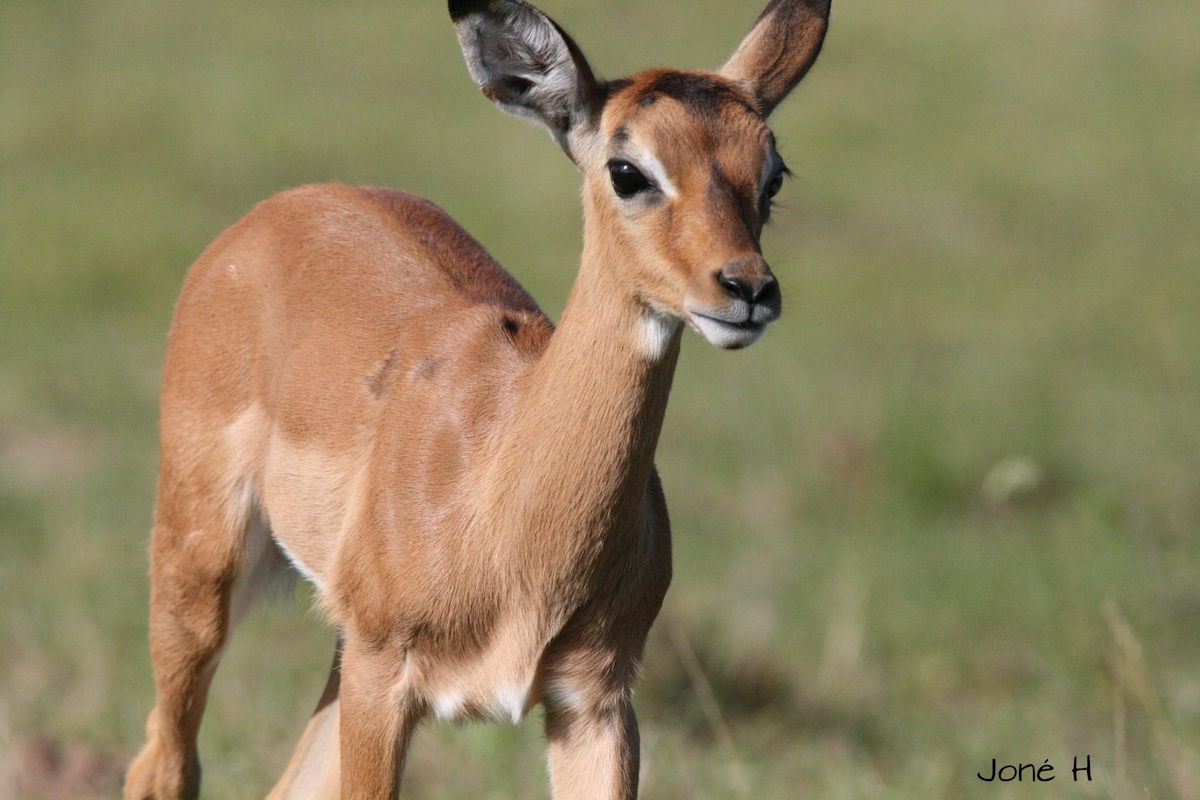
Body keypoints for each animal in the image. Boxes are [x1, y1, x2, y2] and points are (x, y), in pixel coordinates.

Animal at [126, 1, 830, 800]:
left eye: (772, 173)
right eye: (628, 170)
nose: (747, 288)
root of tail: (279, 209)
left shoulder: (594, 701)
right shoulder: (384, 678)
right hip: (201, 571)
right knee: (162, 764)